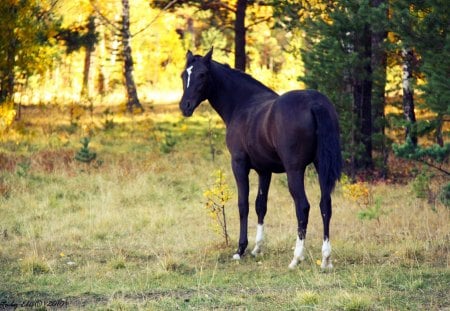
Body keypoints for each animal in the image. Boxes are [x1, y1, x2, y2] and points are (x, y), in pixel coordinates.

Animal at [179, 48, 342, 268]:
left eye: (202, 74)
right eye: (184, 75)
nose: (185, 106)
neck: (242, 104)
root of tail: (315, 103)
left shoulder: (239, 165)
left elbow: (243, 205)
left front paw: (240, 249)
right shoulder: (265, 170)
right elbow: (260, 205)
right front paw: (257, 248)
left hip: (295, 170)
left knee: (303, 207)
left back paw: (296, 258)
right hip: (321, 167)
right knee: (325, 205)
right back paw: (326, 259)